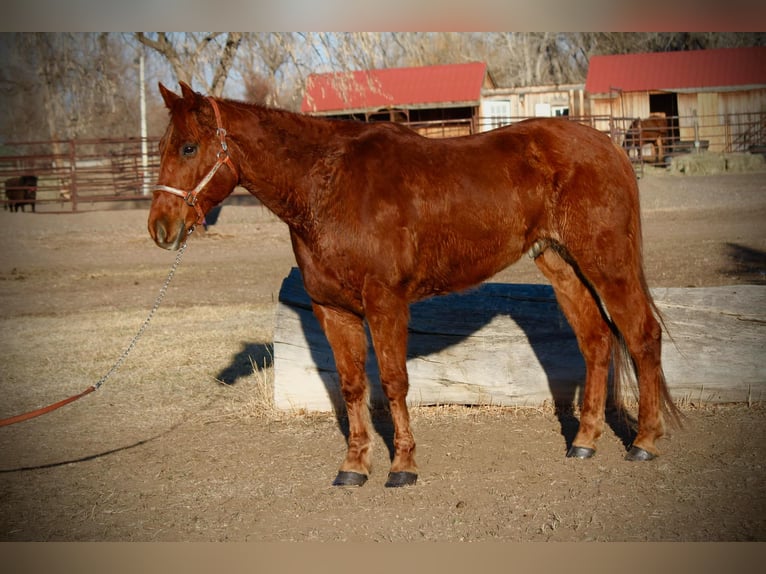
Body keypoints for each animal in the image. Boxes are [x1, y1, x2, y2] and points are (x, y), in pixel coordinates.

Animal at [148, 83, 680, 488]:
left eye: (189, 147)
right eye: (163, 148)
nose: (160, 227)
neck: (329, 185)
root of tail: (608, 146)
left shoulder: (386, 303)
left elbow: (393, 382)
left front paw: (402, 465)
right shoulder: (332, 309)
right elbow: (352, 385)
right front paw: (354, 467)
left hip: (606, 264)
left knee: (641, 336)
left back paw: (644, 442)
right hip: (561, 265)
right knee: (596, 342)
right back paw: (585, 442)